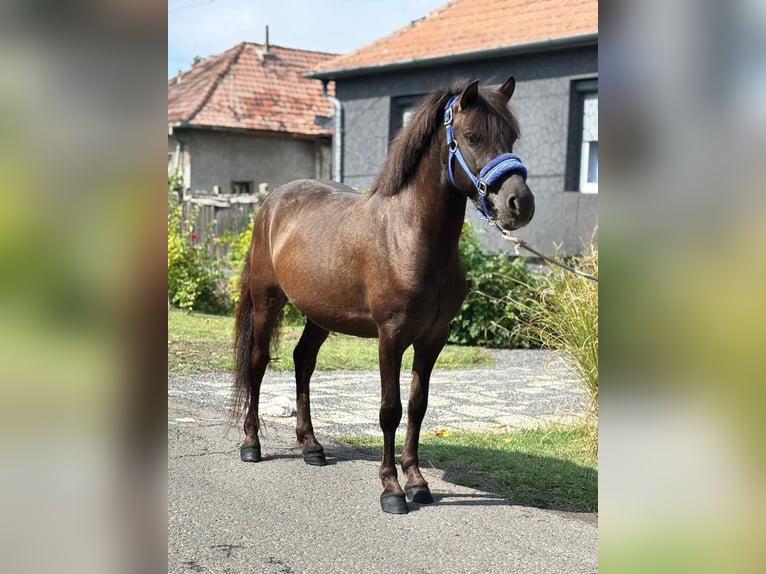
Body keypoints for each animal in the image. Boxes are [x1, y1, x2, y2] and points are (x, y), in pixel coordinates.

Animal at [231, 76, 535, 514]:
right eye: (472, 136)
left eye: (511, 137)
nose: (519, 204)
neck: (408, 237)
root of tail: (272, 202)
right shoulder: (390, 337)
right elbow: (390, 409)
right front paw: (391, 488)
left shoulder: (433, 339)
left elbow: (418, 407)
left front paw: (417, 482)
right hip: (267, 302)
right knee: (256, 364)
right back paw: (251, 443)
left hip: (320, 314)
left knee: (303, 361)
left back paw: (311, 446)